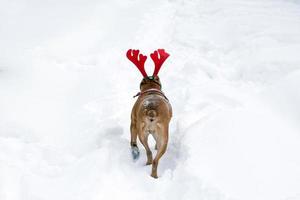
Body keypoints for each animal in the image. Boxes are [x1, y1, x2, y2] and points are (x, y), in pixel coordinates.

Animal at [126, 48, 172, 178]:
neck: (151, 89)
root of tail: (152, 111)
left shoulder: (133, 121)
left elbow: (133, 140)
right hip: (161, 135)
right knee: (154, 157)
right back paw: (153, 175)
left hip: (143, 131)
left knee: (149, 152)